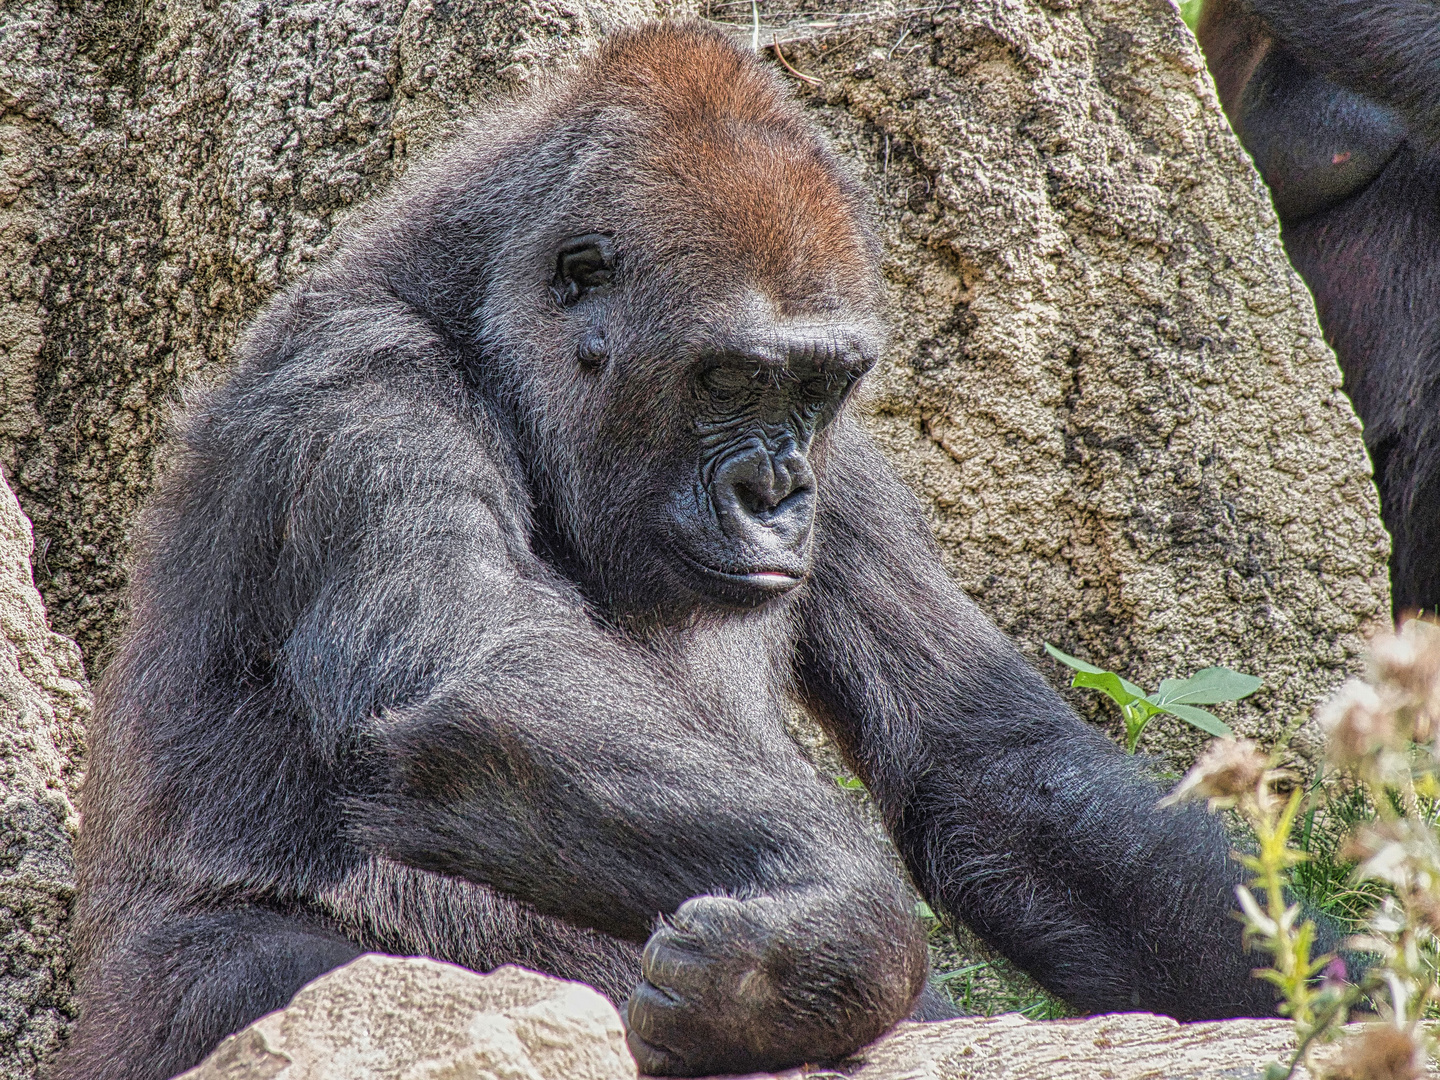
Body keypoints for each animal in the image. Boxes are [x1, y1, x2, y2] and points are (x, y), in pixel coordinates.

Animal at [61, 23, 1284, 1080]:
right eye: (730, 378)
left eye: (816, 386)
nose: (776, 493)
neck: (478, 332)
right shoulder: (358, 397)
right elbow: (476, 679)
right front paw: (828, 940)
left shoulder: (849, 468)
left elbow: (992, 767)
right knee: (270, 976)